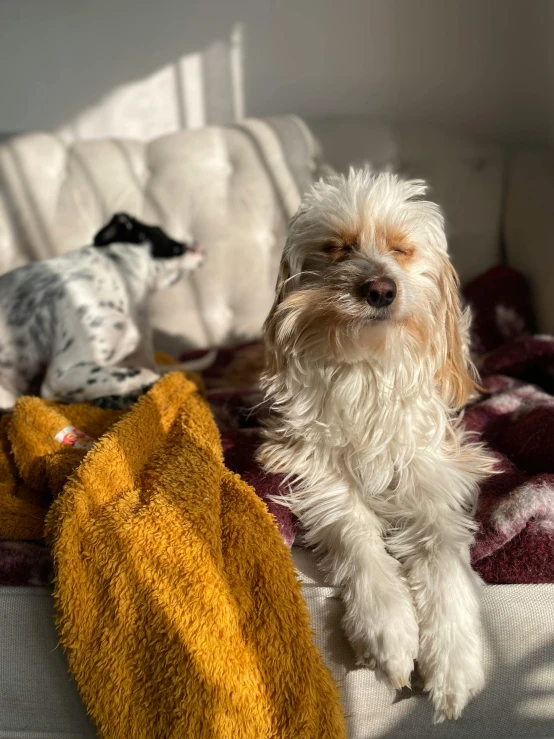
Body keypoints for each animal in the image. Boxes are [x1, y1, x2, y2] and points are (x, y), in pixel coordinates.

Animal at [256, 169, 494, 724]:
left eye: (401, 249)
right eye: (338, 248)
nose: (380, 290)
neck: (369, 361)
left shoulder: (432, 471)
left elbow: (442, 555)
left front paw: (454, 660)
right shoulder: (317, 463)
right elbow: (353, 528)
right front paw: (388, 627)